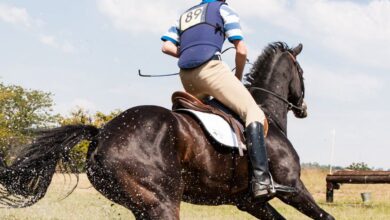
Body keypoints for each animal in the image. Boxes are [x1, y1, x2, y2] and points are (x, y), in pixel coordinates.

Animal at [0, 42, 334, 219]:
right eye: (302, 74)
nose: (303, 108)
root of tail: (101, 135)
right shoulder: (292, 187)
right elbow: (325, 215)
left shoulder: (249, 201)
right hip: (162, 201)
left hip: (143, 204)